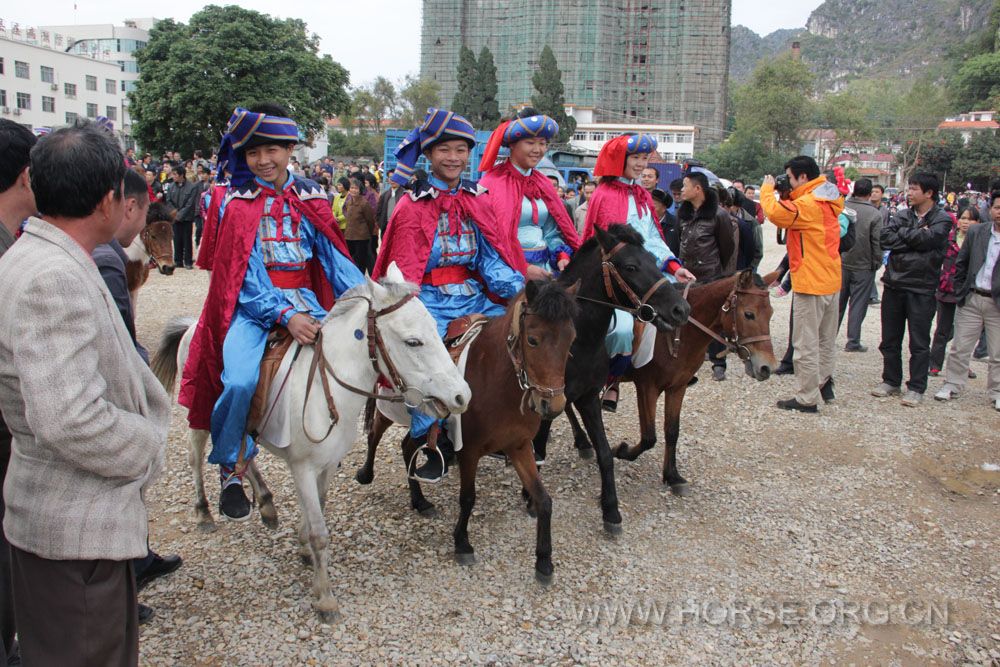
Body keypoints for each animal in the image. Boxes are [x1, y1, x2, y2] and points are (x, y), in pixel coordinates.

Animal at [152, 264, 472, 620]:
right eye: (413, 341)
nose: (461, 396)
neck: (325, 387)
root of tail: (192, 326)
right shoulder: (302, 468)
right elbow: (320, 532)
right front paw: (325, 597)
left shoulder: (327, 466)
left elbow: (317, 507)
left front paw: (303, 546)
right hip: (202, 413)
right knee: (196, 456)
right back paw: (205, 512)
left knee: (245, 452)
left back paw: (265, 504)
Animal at [358, 280, 580, 580]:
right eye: (533, 340)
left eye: (572, 339)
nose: (553, 405)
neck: (497, 381)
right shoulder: (470, 451)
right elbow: (467, 498)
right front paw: (462, 543)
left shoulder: (519, 446)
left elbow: (543, 499)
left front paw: (544, 560)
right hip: (387, 408)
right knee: (375, 434)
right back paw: (366, 473)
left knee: (407, 446)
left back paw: (420, 500)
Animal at [604, 270, 776, 496]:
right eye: (749, 314)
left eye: (771, 313)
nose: (767, 367)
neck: (677, 335)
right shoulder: (647, 388)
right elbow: (649, 437)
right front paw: (622, 450)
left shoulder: (678, 387)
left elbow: (672, 431)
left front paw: (672, 476)